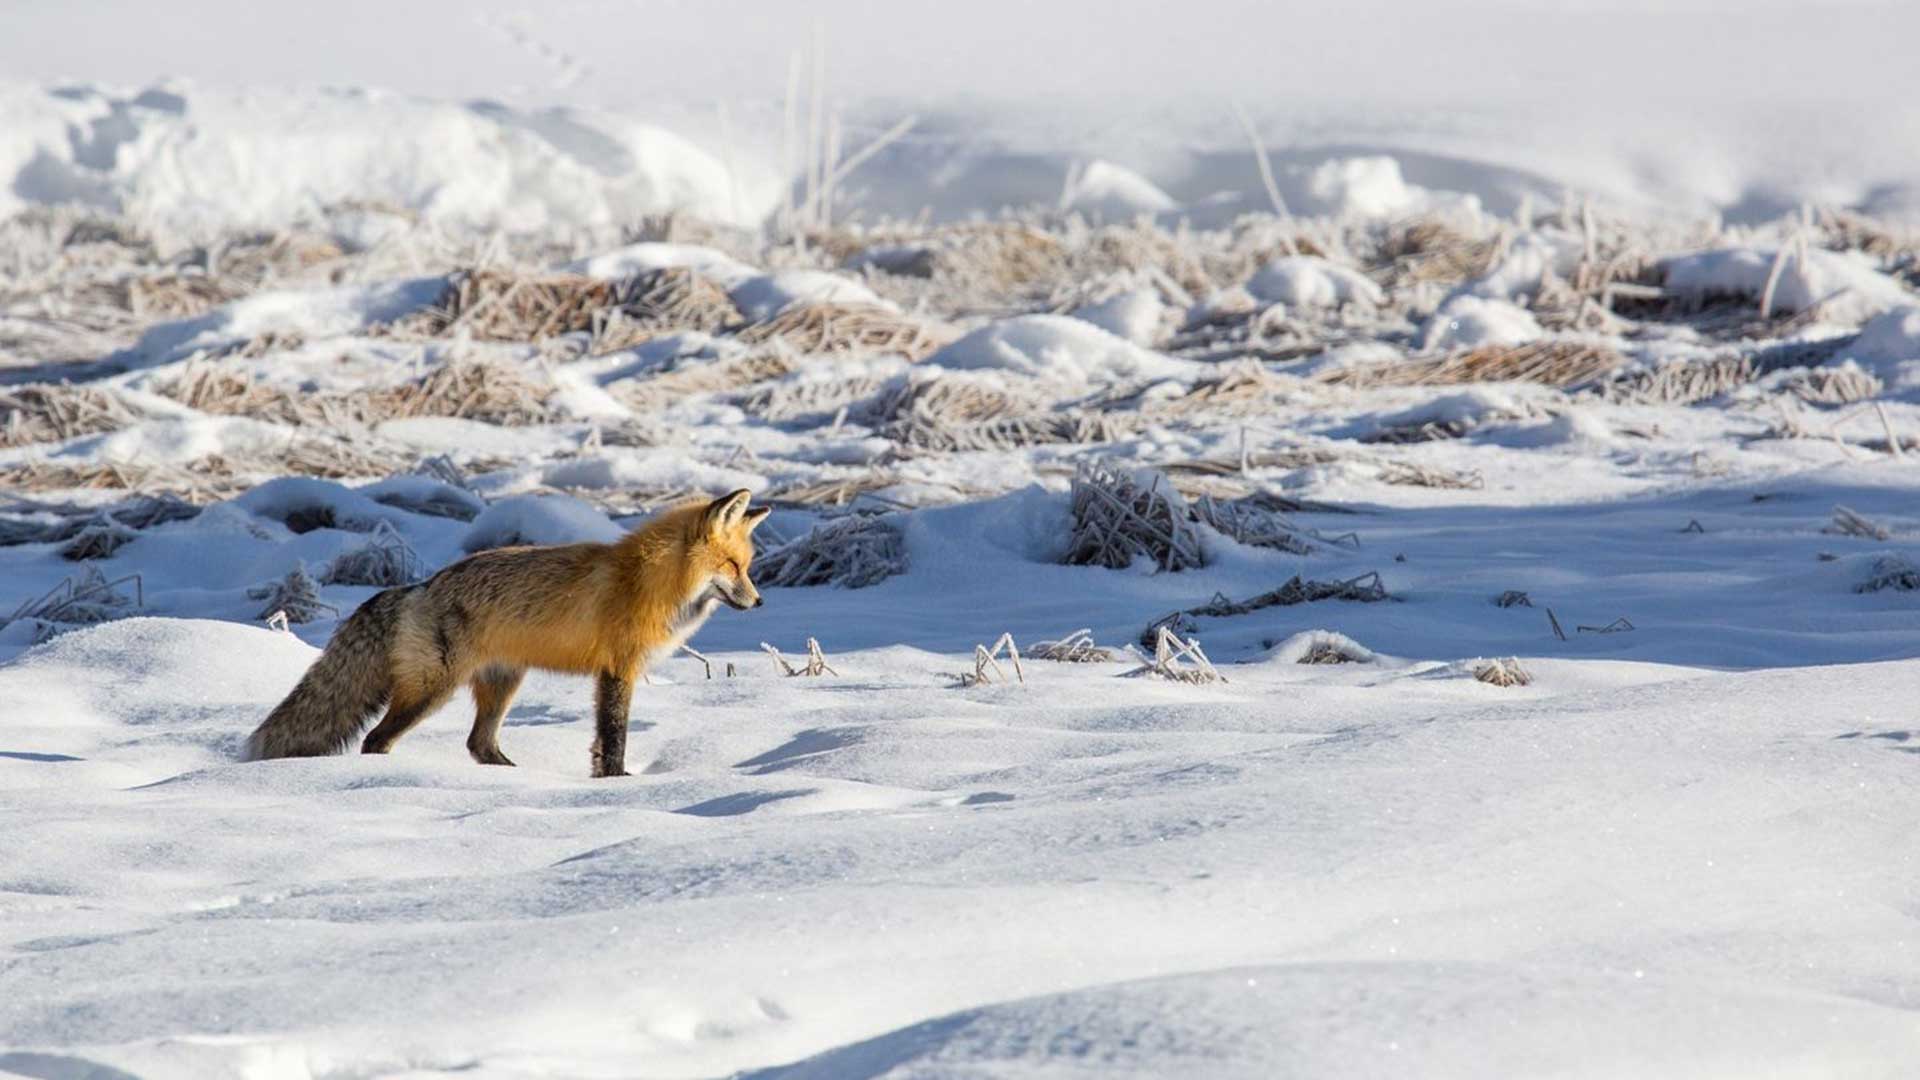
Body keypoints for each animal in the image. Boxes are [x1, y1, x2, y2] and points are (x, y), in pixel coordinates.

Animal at [245, 488, 770, 778]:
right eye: (733, 566)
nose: (760, 602)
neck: (649, 582)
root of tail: (420, 586)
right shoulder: (617, 670)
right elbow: (614, 736)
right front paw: (618, 781)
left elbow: (601, 742)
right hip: (432, 690)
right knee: (377, 738)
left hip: (502, 684)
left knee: (478, 745)